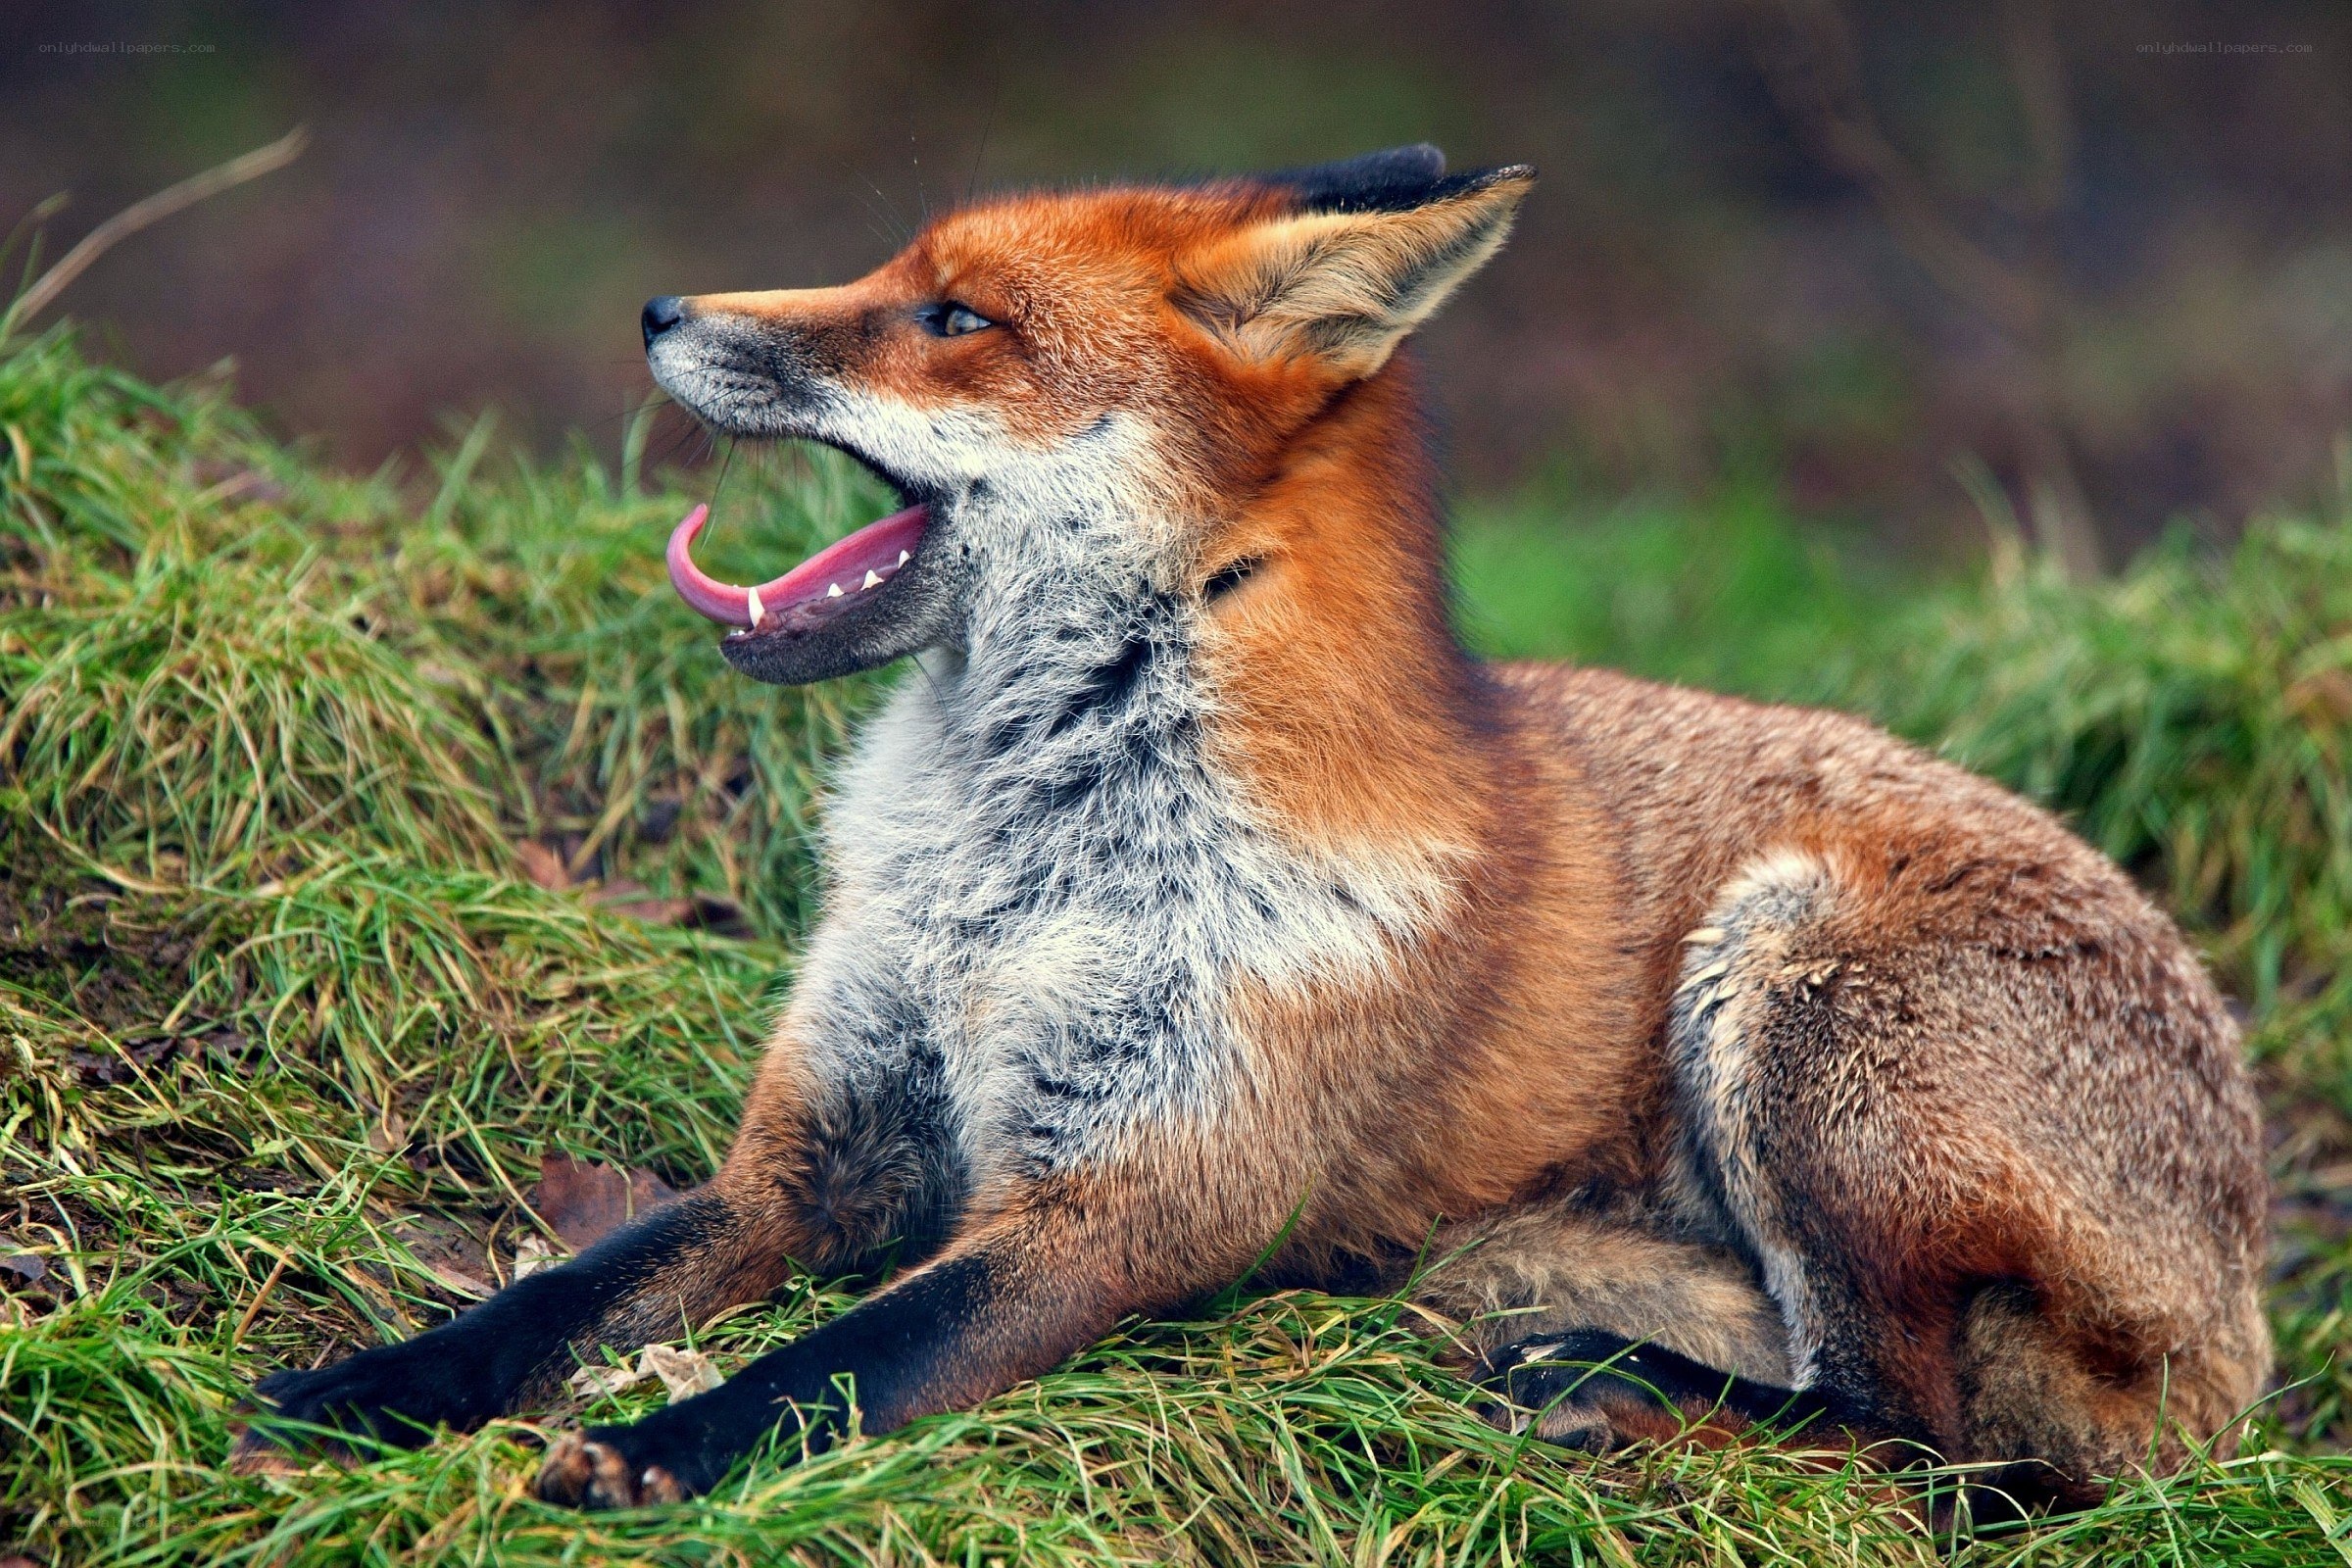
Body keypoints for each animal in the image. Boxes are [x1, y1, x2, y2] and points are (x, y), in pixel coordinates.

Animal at [241, 144, 2269, 1517]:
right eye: (896, 272)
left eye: (955, 318)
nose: (663, 312)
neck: (1008, 878)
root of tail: (2246, 1293)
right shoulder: (806, 1162)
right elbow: (555, 1295)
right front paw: (346, 1398)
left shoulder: (1112, 1216)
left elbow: (823, 1372)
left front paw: (650, 1458)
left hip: (1787, 991)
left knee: (1927, 1442)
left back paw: (1618, 1387)